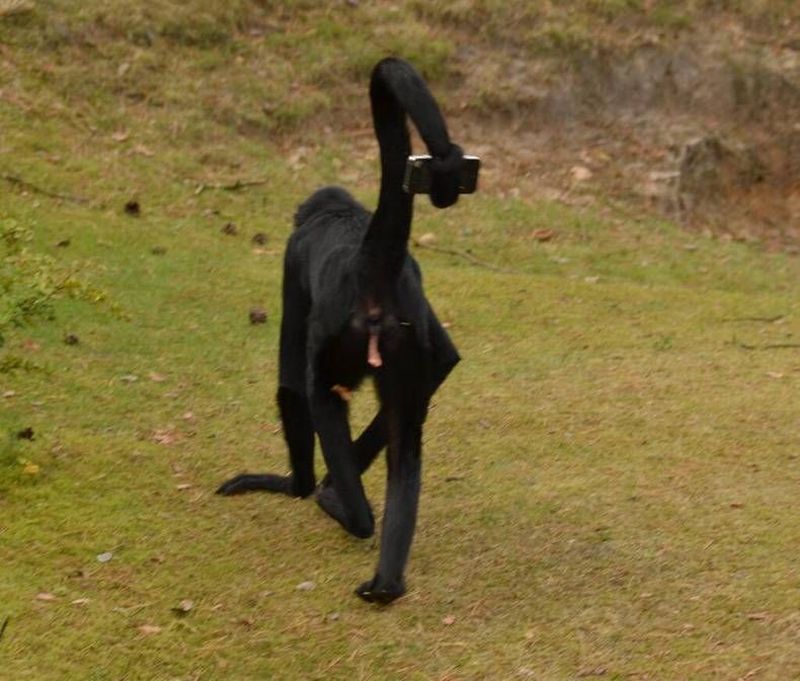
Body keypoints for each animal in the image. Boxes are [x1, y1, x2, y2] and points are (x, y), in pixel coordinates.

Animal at [217, 57, 476, 604]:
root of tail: (365, 260)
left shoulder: (291, 257)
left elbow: (292, 385)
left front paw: (296, 486)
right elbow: (445, 361)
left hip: (343, 342)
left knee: (320, 393)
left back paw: (345, 510)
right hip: (403, 335)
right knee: (404, 436)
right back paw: (386, 582)